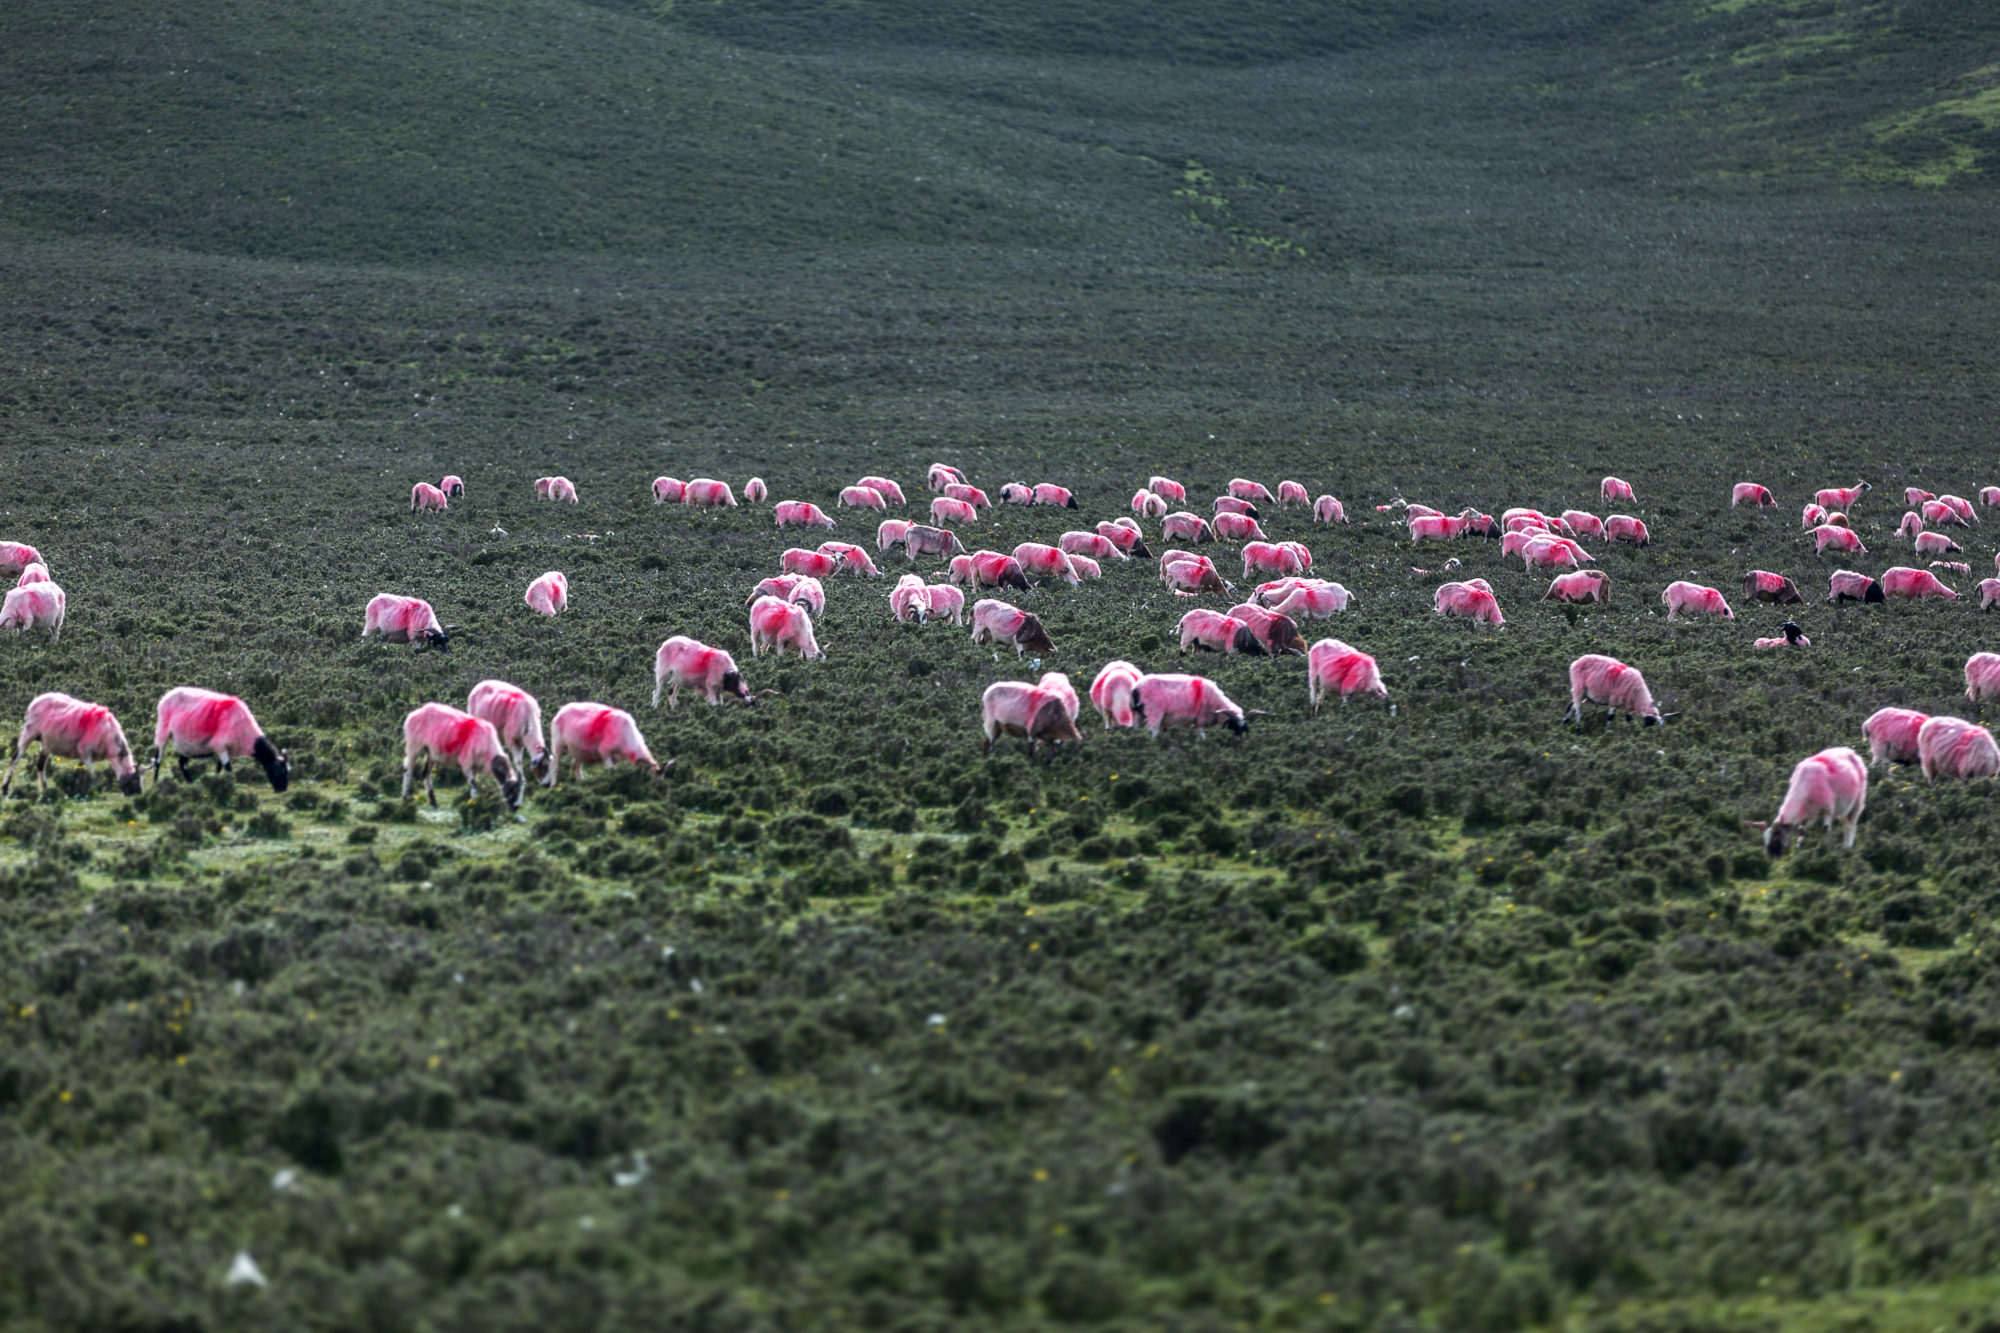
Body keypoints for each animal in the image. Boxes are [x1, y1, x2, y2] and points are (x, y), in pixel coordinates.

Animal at [0, 688, 143, 792]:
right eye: (135, 780)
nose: (138, 794)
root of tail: (35, 701)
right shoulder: (85, 751)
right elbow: (92, 774)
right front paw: (95, 787)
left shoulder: (83, 755)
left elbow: (80, 770)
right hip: (30, 732)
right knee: (16, 757)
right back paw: (5, 788)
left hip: (46, 742)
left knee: (40, 764)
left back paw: (44, 790)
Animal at [152, 684, 288, 788]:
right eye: (279, 772)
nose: (282, 789)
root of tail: (166, 696)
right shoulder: (220, 745)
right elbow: (228, 769)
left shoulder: (224, 748)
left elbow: (219, 767)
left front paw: (217, 781)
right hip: (163, 731)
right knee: (158, 759)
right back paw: (155, 782)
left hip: (185, 743)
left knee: (182, 763)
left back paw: (190, 783)